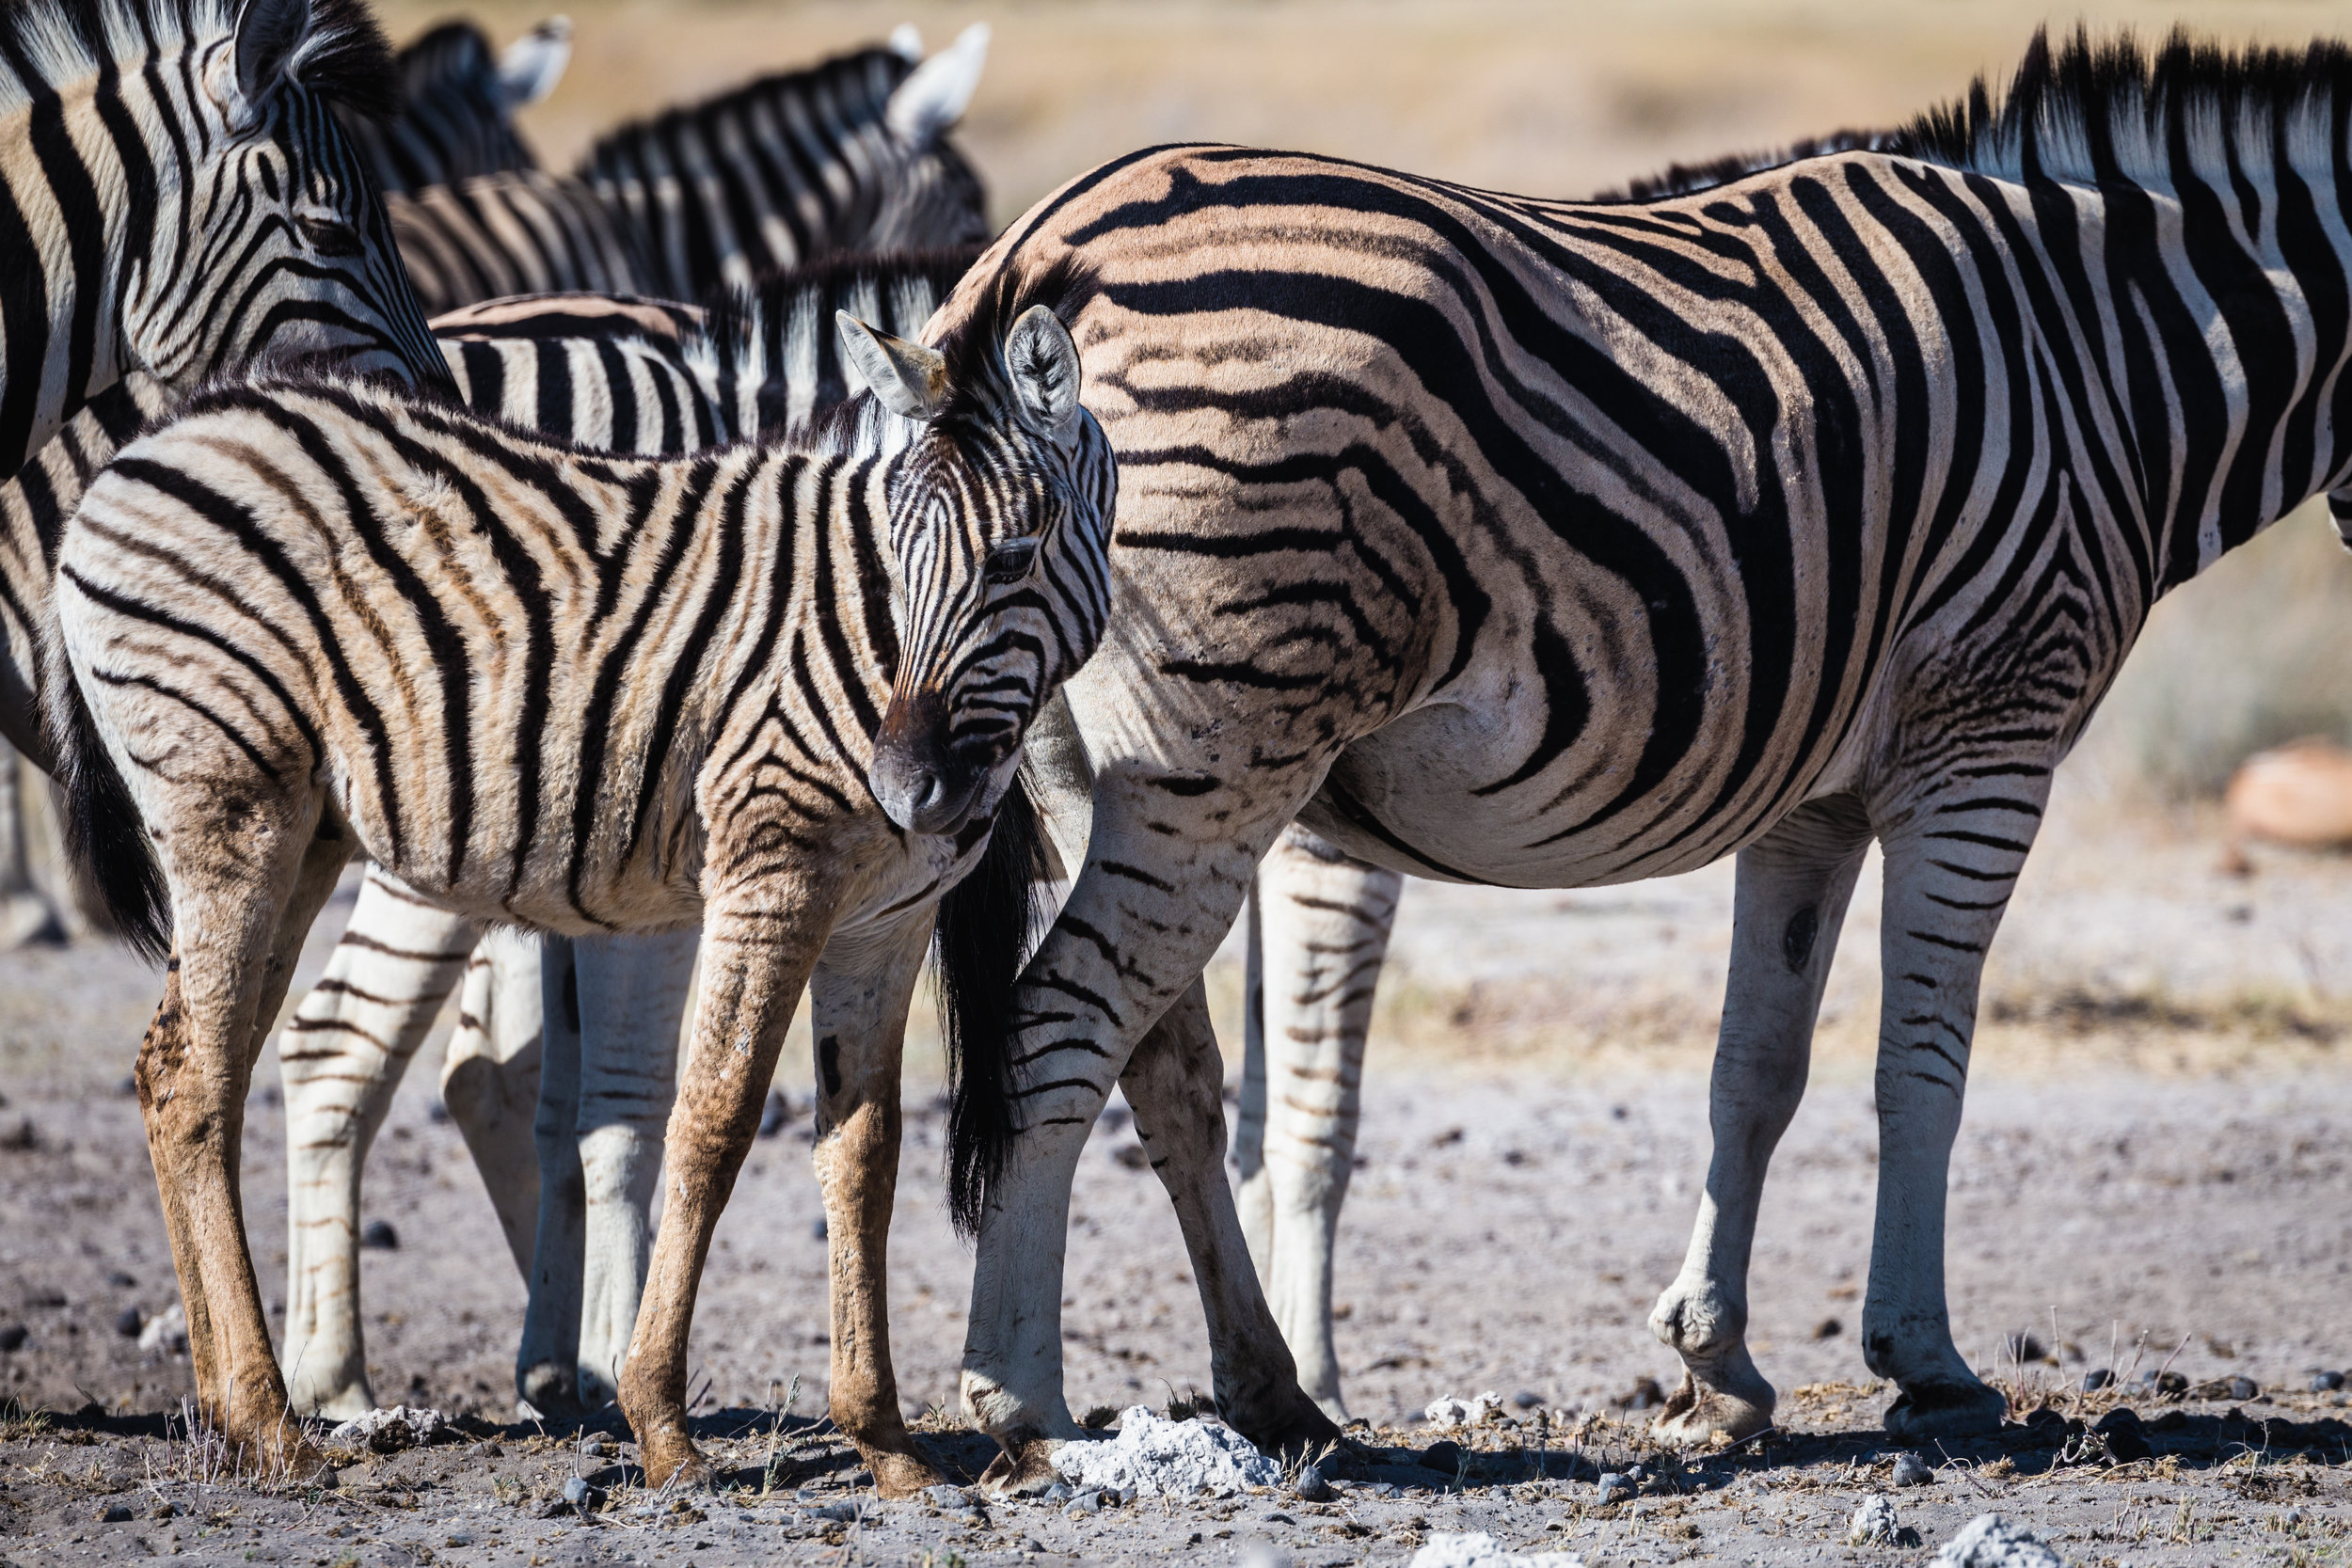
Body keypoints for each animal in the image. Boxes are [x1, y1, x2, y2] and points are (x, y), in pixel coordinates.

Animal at [50, 276, 1115, 1495]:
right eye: (898, 551)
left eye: (1015, 552)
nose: (906, 784)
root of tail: (154, 442)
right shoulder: (771, 867)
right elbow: (713, 1117)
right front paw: (659, 1419)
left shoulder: (885, 922)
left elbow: (863, 1154)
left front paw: (885, 1442)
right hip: (229, 805)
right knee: (195, 1078)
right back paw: (272, 1421)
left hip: (300, 833)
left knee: (181, 1068)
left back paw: (233, 1412)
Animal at [898, 33, 2352, 1485]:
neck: (2107, 351)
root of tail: (1038, 243)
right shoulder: (1987, 737)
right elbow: (1919, 1066)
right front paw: (1925, 1363)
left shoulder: (1811, 794)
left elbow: (1754, 1071)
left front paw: (1718, 1363)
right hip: (1225, 754)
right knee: (1059, 1024)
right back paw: (1025, 1394)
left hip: (1089, 767)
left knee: (1158, 1064)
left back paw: (1271, 1393)